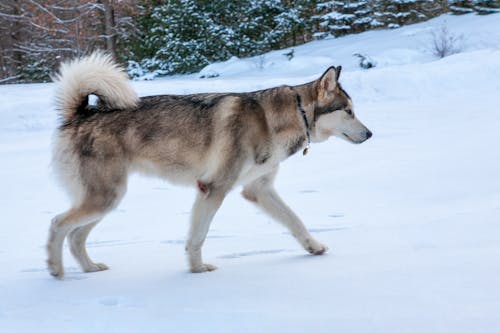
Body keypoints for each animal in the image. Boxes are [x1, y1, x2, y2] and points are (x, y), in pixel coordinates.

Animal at [47, 52, 372, 278]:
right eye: (349, 111)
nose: (370, 134)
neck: (283, 118)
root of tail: (81, 113)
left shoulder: (258, 189)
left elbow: (295, 221)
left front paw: (313, 247)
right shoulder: (214, 188)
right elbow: (198, 237)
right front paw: (198, 270)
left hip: (107, 200)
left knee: (75, 236)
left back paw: (90, 269)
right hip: (105, 198)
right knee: (58, 223)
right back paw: (55, 271)